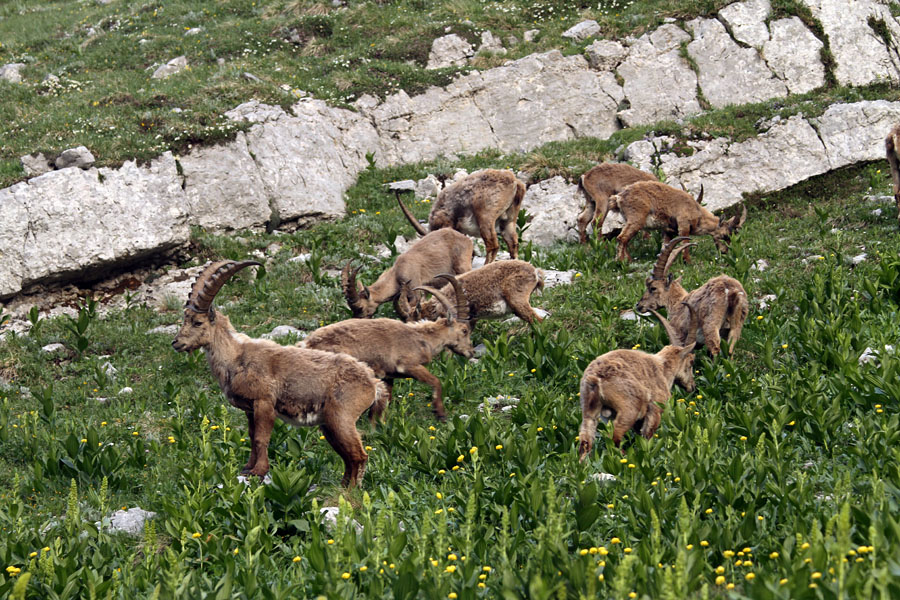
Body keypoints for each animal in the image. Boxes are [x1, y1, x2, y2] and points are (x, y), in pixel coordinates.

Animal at [172, 260, 384, 487]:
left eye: (197, 322)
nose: (176, 343)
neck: (236, 358)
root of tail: (372, 383)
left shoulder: (264, 402)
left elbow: (261, 438)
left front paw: (258, 471)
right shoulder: (250, 409)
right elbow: (251, 435)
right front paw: (247, 468)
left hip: (342, 418)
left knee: (359, 456)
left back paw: (350, 491)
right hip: (329, 425)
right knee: (348, 457)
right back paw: (342, 488)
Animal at [304, 279, 474, 422]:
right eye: (464, 330)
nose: (472, 352)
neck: (422, 338)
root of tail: (307, 344)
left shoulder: (388, 376)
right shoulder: (409, 365)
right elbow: (435, 381)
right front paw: (440, 413)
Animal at [577, 310, 695, 461]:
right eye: (691, 362)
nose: (692, 387)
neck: (663, 369)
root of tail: (594, 378)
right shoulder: (655, 408)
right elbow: (647, 435)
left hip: (589, 410)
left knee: (586, 440)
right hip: (629, 409)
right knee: (615, 435)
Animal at [607, 181, 747, 263]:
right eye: (725, 235)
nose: (725, 251)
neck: (697, 212)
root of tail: (619, 197)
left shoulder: (668, 230)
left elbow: (665, 246)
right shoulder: (683, 225)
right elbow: (685, 242)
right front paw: (687, 261)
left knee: (624, 239)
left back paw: (628, 260)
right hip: (636, 218)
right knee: (622, 238)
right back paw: (621, 262)